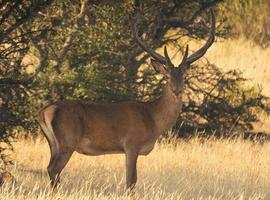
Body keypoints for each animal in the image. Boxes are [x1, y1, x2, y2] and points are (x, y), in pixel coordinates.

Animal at [38, 8, 215, 191]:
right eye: (167, 76)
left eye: (184, 76)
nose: (177, 90)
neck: (153, 119)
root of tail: (44, 112)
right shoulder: (131, 144)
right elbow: (131, 181)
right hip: (68, 141)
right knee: (54, 169)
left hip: (54, 144)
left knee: (50, 168)